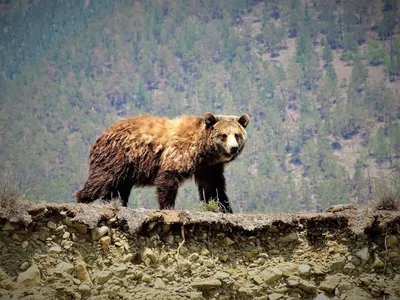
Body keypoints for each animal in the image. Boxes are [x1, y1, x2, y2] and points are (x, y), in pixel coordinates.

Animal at [75, 111, 248, 212]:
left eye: (237, 135)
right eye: (224, 135)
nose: (233, 148)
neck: (204, 151)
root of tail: (103, 134)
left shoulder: (208, 167)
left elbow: (213, 188)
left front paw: (224, 208)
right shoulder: (179, 153)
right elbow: (168, 178)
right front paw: (168, 206)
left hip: (127, 168)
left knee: (119, 188)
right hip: (118, 156)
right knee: (103, 178)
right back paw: (82, 198)